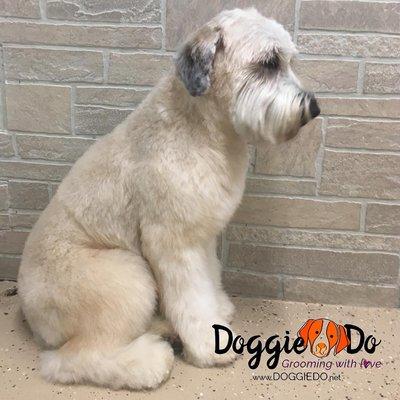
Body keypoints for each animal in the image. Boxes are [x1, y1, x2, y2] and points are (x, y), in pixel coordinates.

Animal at [18, 7, 318, 390]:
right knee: (73, 360)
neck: (198, 129)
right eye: (268, 63)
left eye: (288, 61)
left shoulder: (201, 237)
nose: (313, 107)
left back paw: (164, 328)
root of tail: (31, 313)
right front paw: (209, 346)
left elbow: (206, 282)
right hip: (128, 276)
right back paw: (149, 362)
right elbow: (190, 298)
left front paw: (217, 312)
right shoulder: (172, 244)